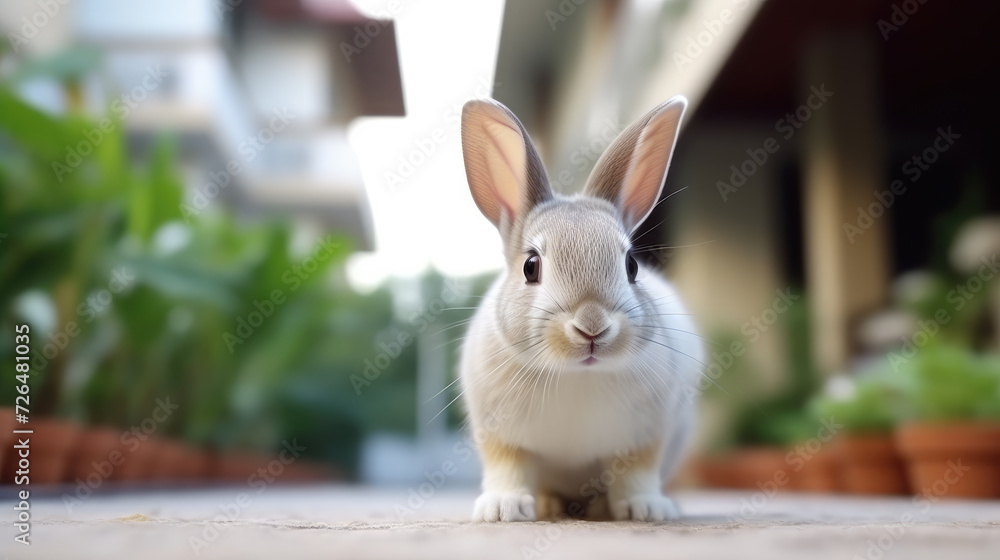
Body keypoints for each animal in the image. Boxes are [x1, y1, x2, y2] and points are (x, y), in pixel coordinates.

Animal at [458, 95, 703, 523]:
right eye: (531, 266)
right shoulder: (502, 439)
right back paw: (548, 505)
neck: (575, 374)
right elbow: (509, 469)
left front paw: (646, 508)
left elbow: (636, 475)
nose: (592, 326)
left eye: (632, 266)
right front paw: (503, 508)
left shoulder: (643, 439)